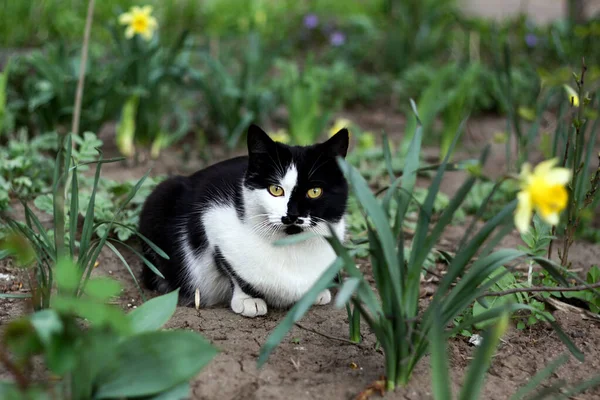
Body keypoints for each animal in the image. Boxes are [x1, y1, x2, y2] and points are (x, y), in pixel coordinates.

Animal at [138, 123, 350, 318]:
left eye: (314, 192)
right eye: (275, 189)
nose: (292, 215)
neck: (290, 247)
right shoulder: (211, 219)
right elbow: (231, 269)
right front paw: (248, 300)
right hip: (161, 196)